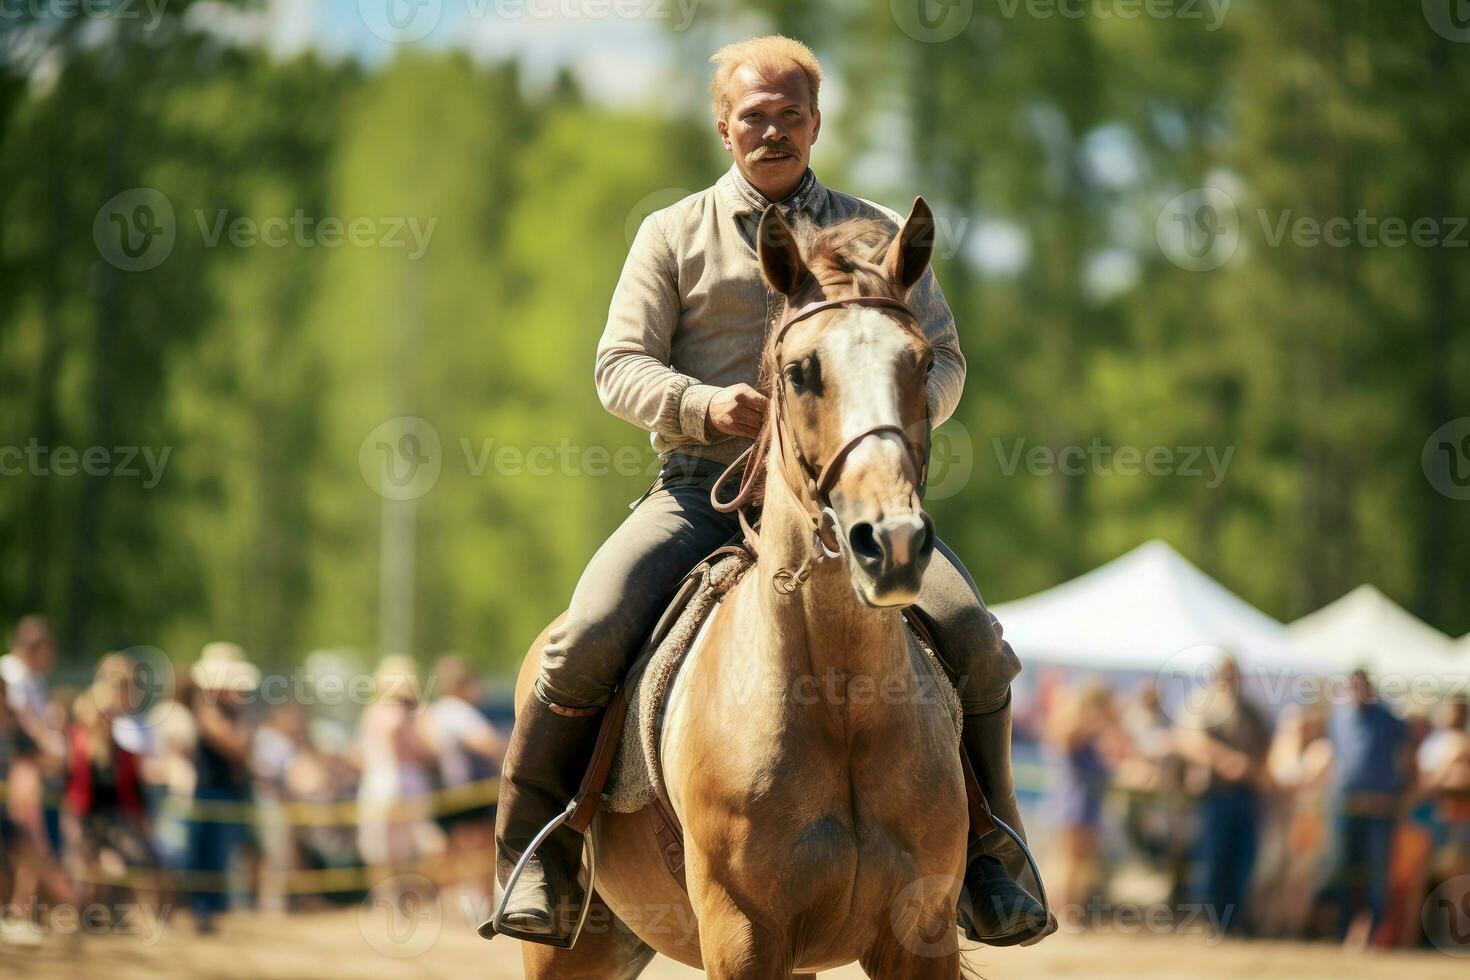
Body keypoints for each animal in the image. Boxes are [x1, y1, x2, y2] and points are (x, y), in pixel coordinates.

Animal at [511, 195, 970, 975]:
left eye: (923, 361)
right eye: (800, 371)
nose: (893, 543)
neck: (838, 701)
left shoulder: (920, 936)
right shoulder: (743, 934)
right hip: (576, 949)